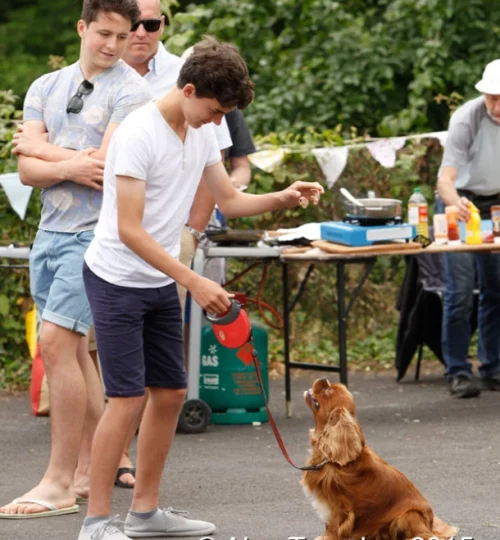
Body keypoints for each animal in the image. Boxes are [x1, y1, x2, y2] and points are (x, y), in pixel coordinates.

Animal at [298, 380, 458, 540]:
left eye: (328, 390)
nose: (324, 379)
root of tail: (430, 524)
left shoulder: (339, 508)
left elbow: (333, 529)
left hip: (406, 516)